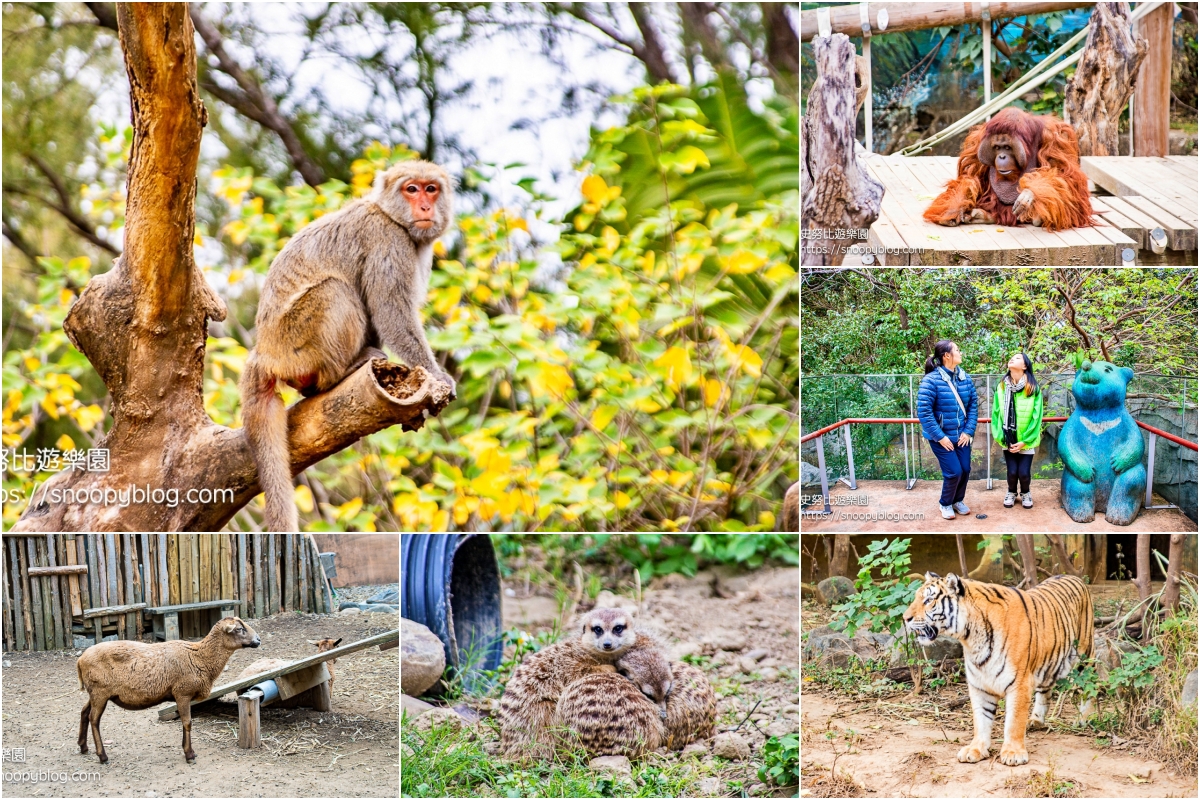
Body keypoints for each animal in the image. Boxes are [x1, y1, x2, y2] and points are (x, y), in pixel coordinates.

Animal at [78, 618, 261, 762]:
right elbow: (187, 723)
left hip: (95, 693)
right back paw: (102, 756)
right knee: (94, 719)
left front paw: (186, 749)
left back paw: (83, 746)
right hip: (100, 692)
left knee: (84, 712)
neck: (199, 656)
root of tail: (80, 660)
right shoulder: (182, 693)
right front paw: (189, 754)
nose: (258, 640)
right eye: (239, 629)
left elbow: (185, 723)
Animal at [241, 159, 456, 532]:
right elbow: (391, 311)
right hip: (296, 339)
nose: (425, 207)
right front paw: (436, 376)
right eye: (411, 189)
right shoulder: (387, 238)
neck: (390, 214)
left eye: (431, 189)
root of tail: (264, 354)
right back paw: (341, 371)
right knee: (334, 289)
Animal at [902, 573, 1094, 767]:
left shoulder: (1019, 683)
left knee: (1090, 686)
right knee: (1045, 691)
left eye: (928, 600)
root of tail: (1073, 576)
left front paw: (1013, 753)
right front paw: (975, 749)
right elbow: (981, 720)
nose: (905, 618)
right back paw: (1036, 720)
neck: (971, 638)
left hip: (1084, 658)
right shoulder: (979, 684)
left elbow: (1014, 721)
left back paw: (1083, 719)